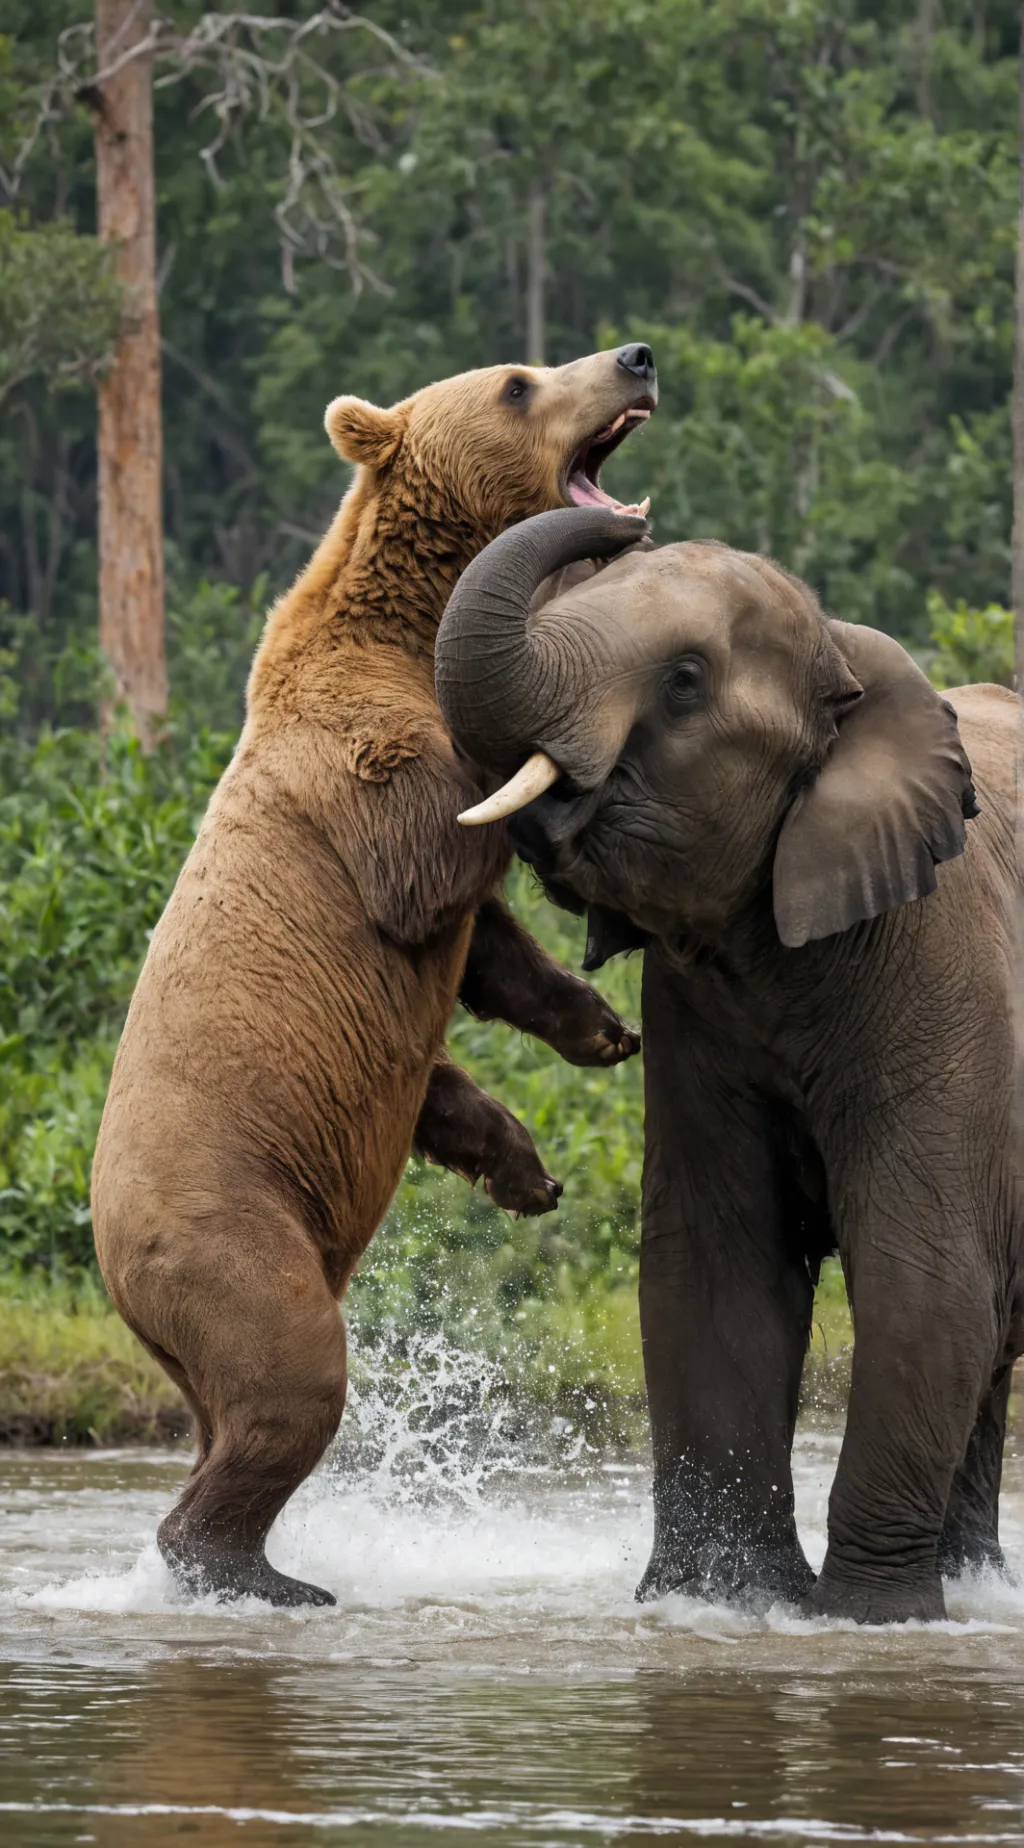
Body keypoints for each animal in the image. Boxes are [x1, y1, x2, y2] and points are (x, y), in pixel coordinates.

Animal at [91, 345, 658, 1608]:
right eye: (518, 381)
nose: (635, 356)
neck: (401, 614)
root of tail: (103, 1250)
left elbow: (489, 956)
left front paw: (596, 1046)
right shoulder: (357, 775)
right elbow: (432, 855)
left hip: (188, 1314)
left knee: (227, 1412)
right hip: (228, 1228)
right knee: (290, 1375)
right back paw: (260, 1572)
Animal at [434, 505, 1023, 1624]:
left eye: (684, 682)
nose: (627, 513)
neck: (845, 659)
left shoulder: (944, 971)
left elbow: (917, 1275)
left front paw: (866, 1620)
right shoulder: (692, 1008)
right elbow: (716, 1276)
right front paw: (726, 1604)